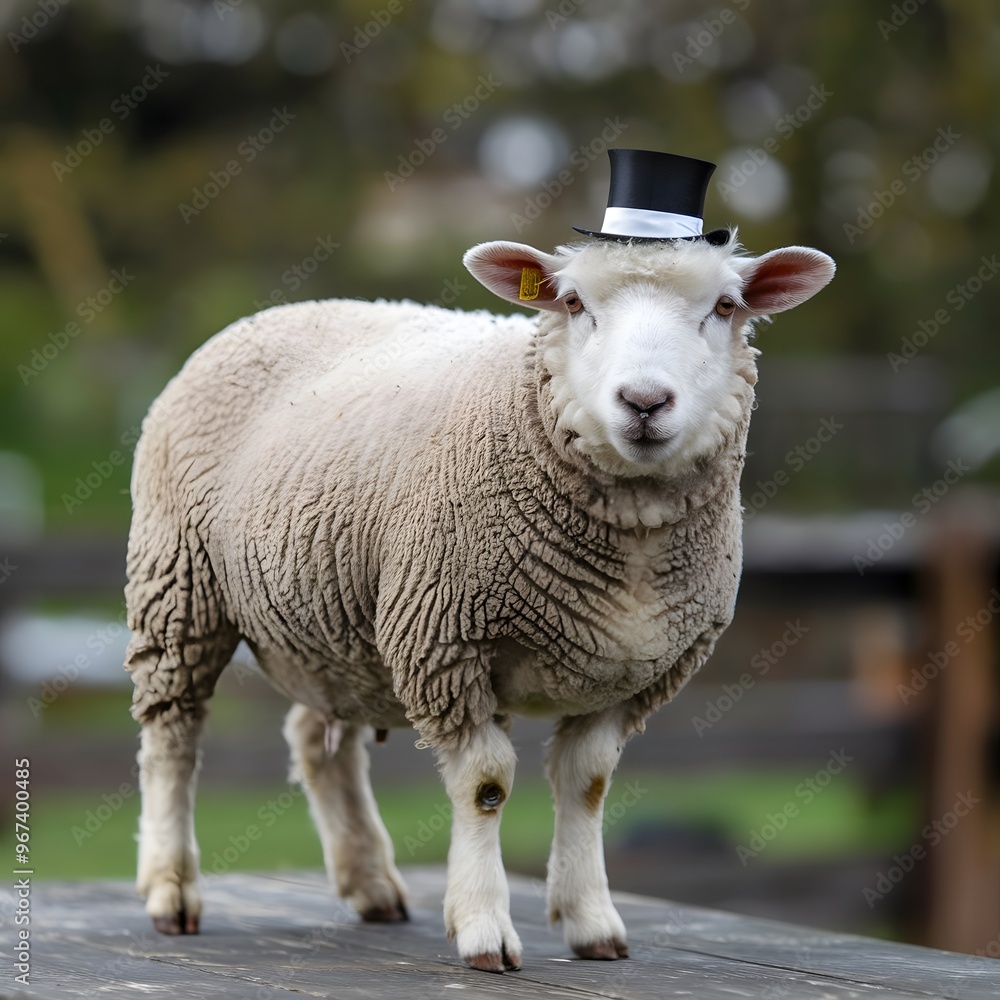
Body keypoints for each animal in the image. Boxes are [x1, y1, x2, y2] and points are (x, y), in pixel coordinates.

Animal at [124, 231, 834, 973]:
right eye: (573, 303)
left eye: (725, 306)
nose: (643, 401)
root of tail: (277, 312)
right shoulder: (444, 640)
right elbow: (484, 786)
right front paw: (483, 927)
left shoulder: (633, 674)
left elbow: (588, 784)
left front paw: (591, 922)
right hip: (180, 585)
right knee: (173, 736)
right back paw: (171, 889)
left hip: (338, 620)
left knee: (317, 742)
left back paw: (370, 882)